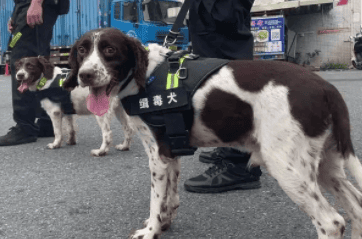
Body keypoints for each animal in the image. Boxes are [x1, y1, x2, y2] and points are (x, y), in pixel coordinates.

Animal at [62, 28, 362, 239]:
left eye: (110, 50)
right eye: (81, 51)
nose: (85, 75)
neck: (145, 75)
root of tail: (325, 87)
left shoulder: (157, 155)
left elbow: (155, 200)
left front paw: (149, 232)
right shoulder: (171, 152)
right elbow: (169, 198)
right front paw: (163, 223)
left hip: (287, 167)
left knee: (332, 222)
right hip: (325, 163)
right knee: (356, 209)